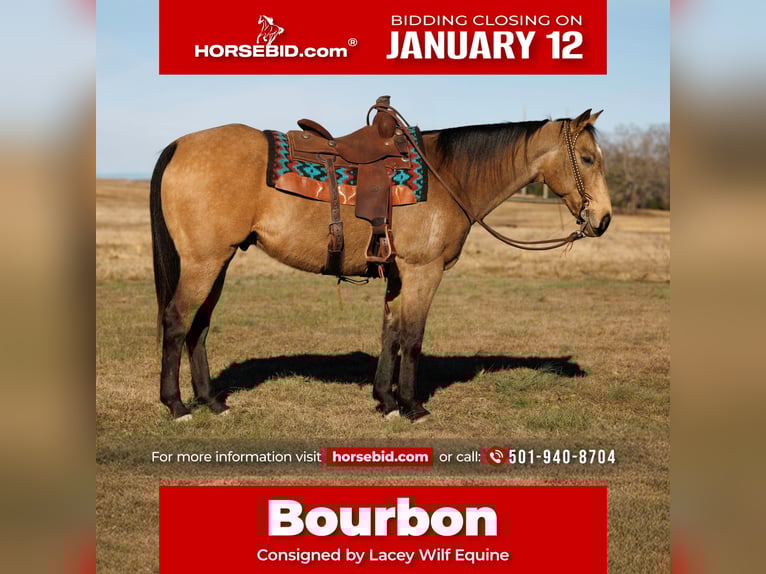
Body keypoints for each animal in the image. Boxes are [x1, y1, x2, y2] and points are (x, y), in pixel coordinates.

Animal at [150, 107, 612, 422]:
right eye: (588, 159)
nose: (603, 219)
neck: (448, 177)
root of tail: (179, 145)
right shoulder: (423, 270)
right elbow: (413, 337)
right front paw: (411, 405)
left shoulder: (397, 274)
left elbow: (390, 334)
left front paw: (386, 401)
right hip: (203, 262)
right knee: (177, 321)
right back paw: (176, 404)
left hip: (219, 261)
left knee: (199, 327)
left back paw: (211, 400)